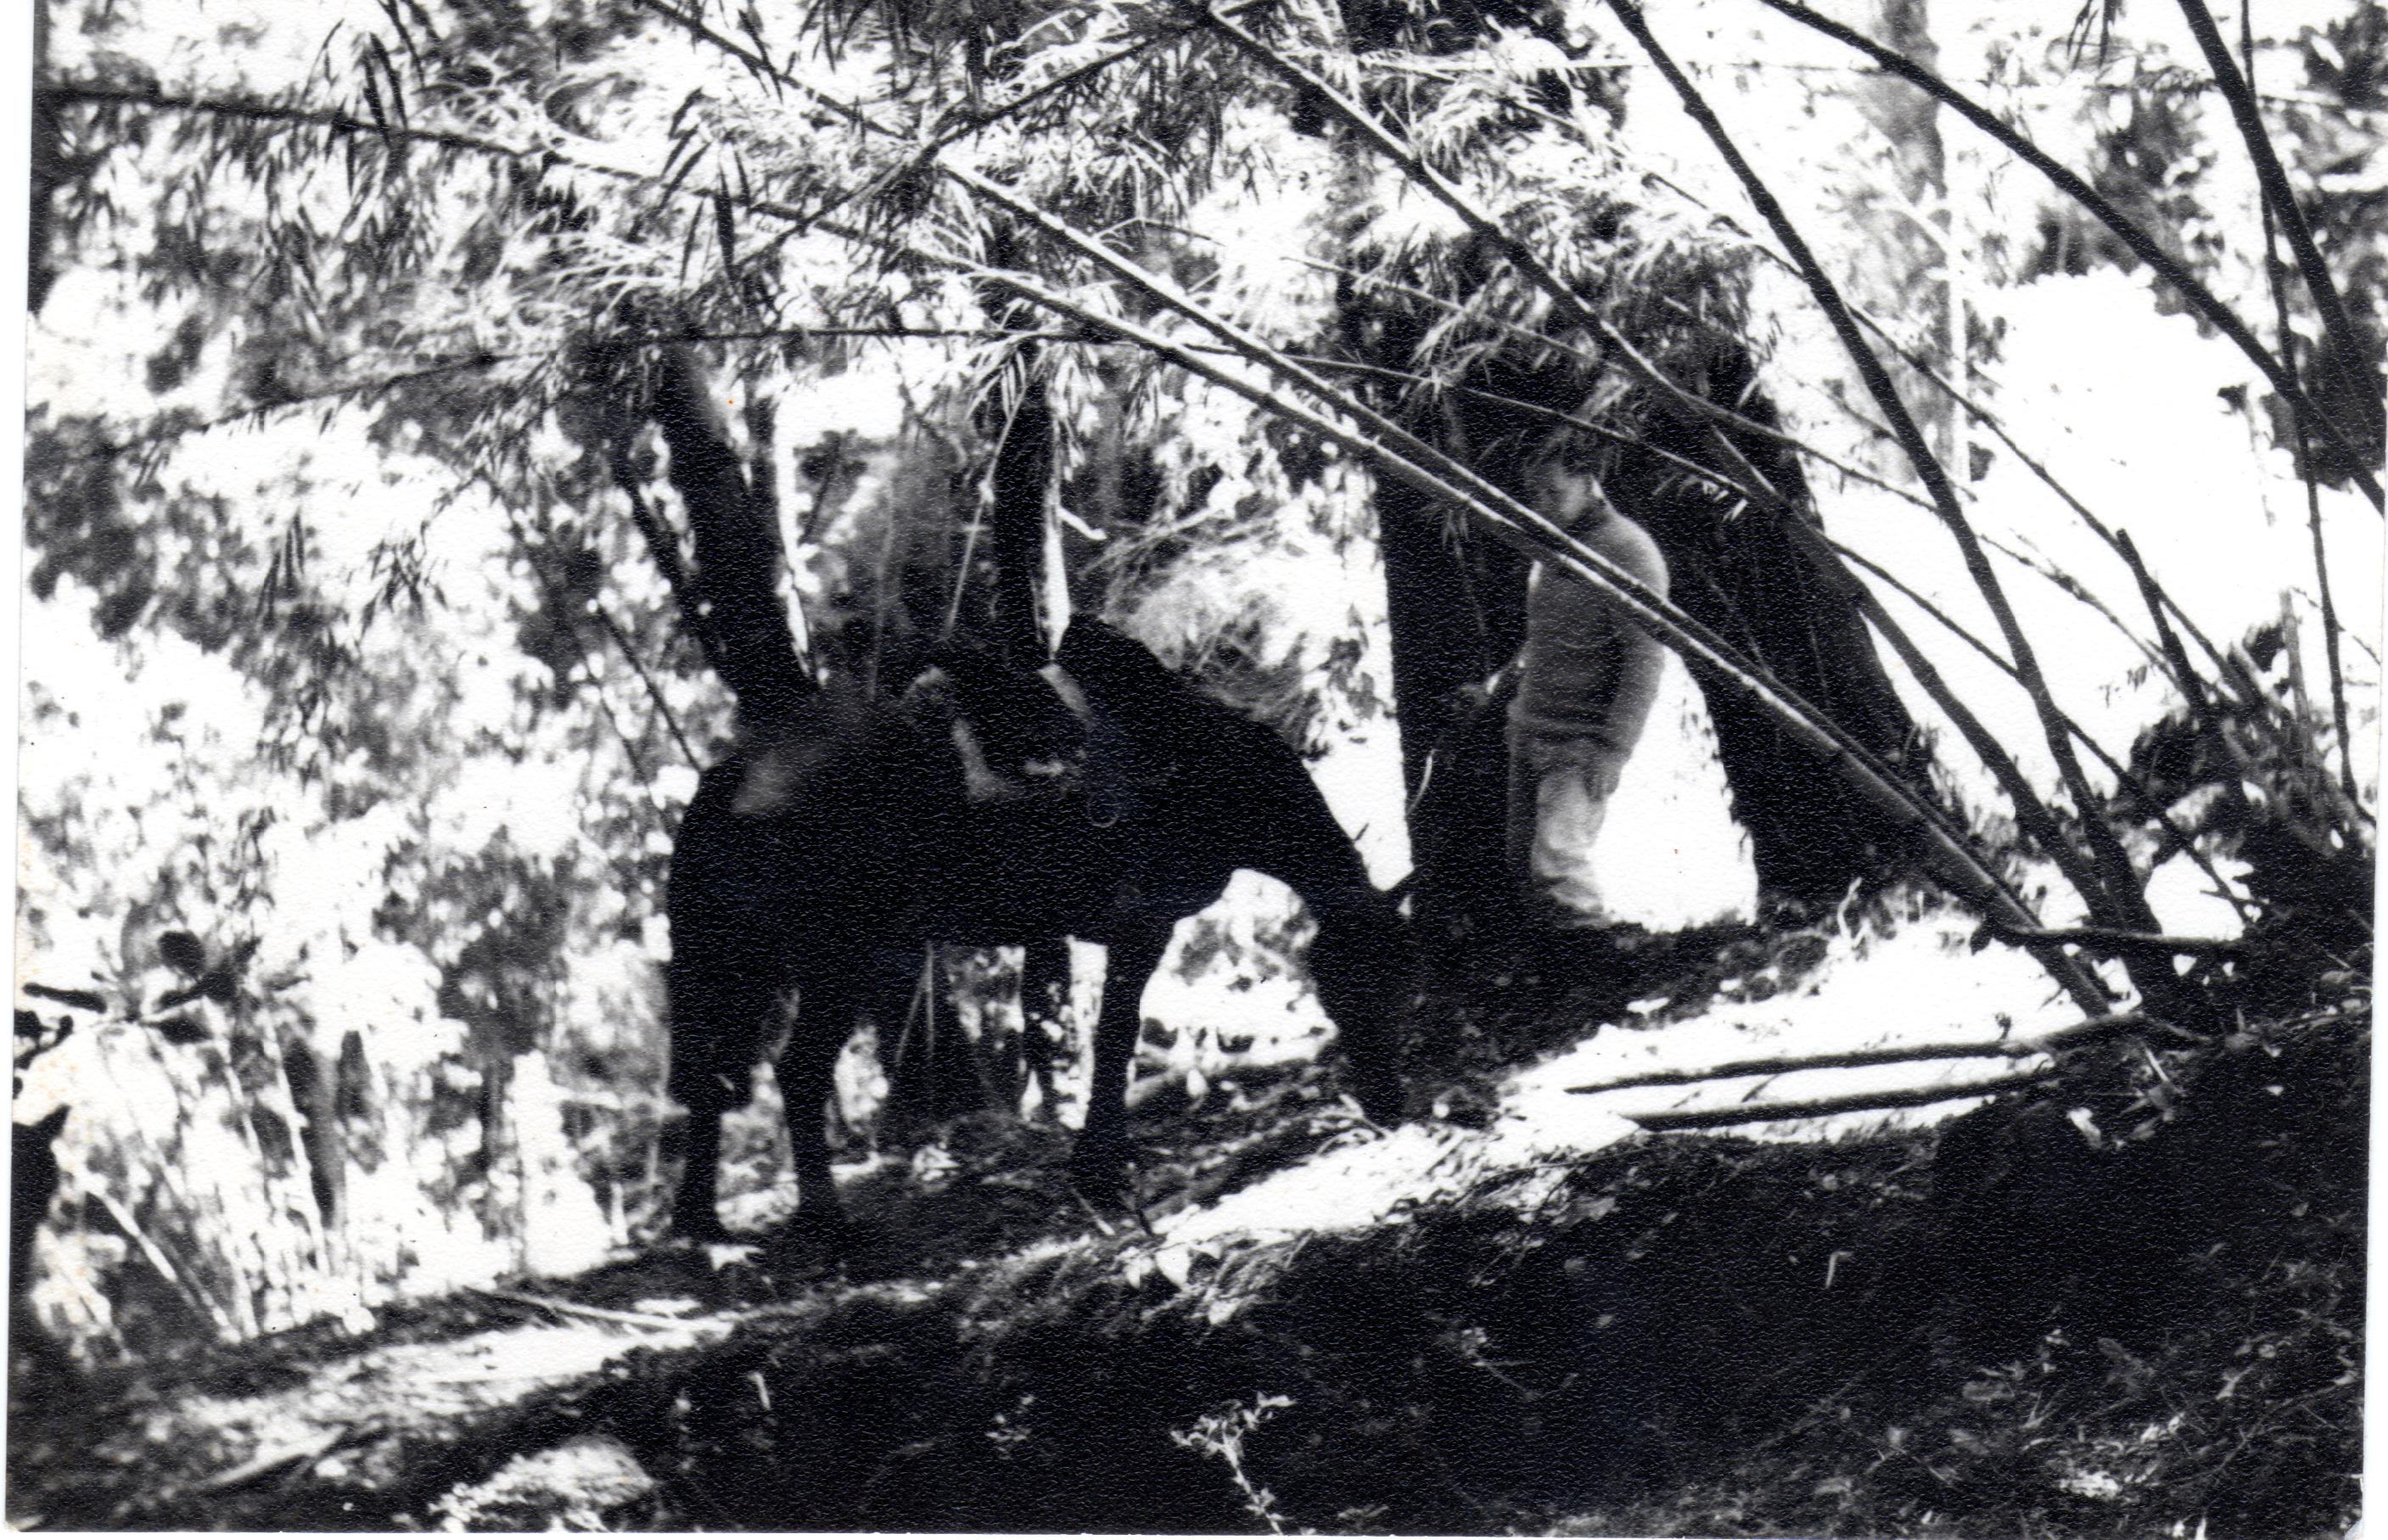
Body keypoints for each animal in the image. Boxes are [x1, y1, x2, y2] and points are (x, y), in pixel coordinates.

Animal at [664, 611, 1404, 1241]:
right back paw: (824, 1221)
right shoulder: (1144, 923)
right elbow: (1115, 1037)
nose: (1390, 1106)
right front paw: (1100, 1172)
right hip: (832, 959)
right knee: (797, 1071)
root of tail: (724, 785)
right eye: (1348, 990)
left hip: (747, 960)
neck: (1199, 761)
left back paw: (703, 1221)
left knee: (715, 1077)